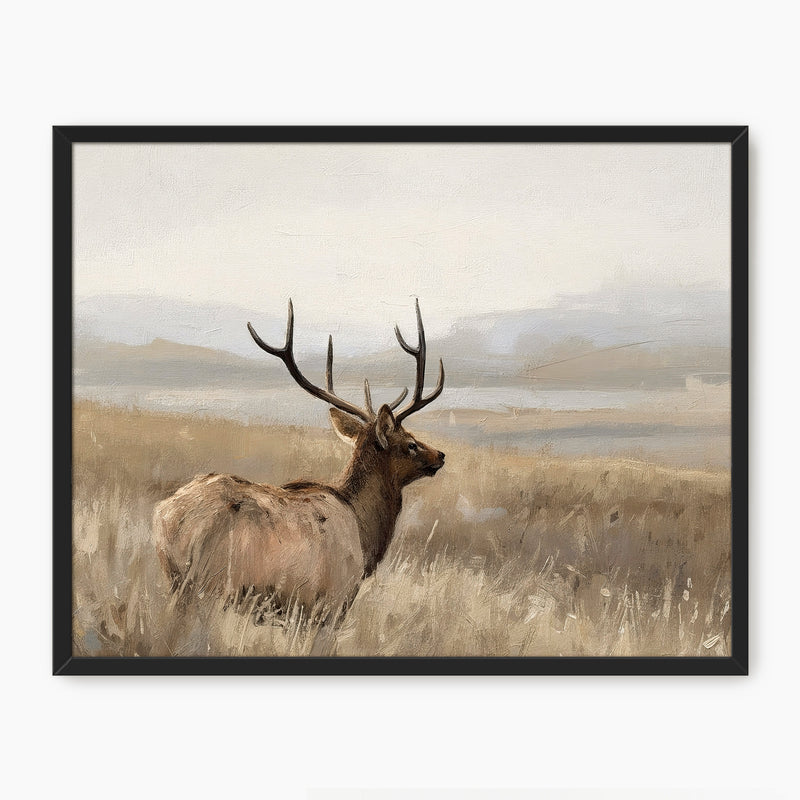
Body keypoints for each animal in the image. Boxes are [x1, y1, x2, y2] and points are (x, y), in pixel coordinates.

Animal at [152, 299, 446, 631]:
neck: (365, 534)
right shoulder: (330, 604)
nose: (440, 455)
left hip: (176, 581)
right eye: (410, 443)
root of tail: (169, 516)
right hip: (209, 585)